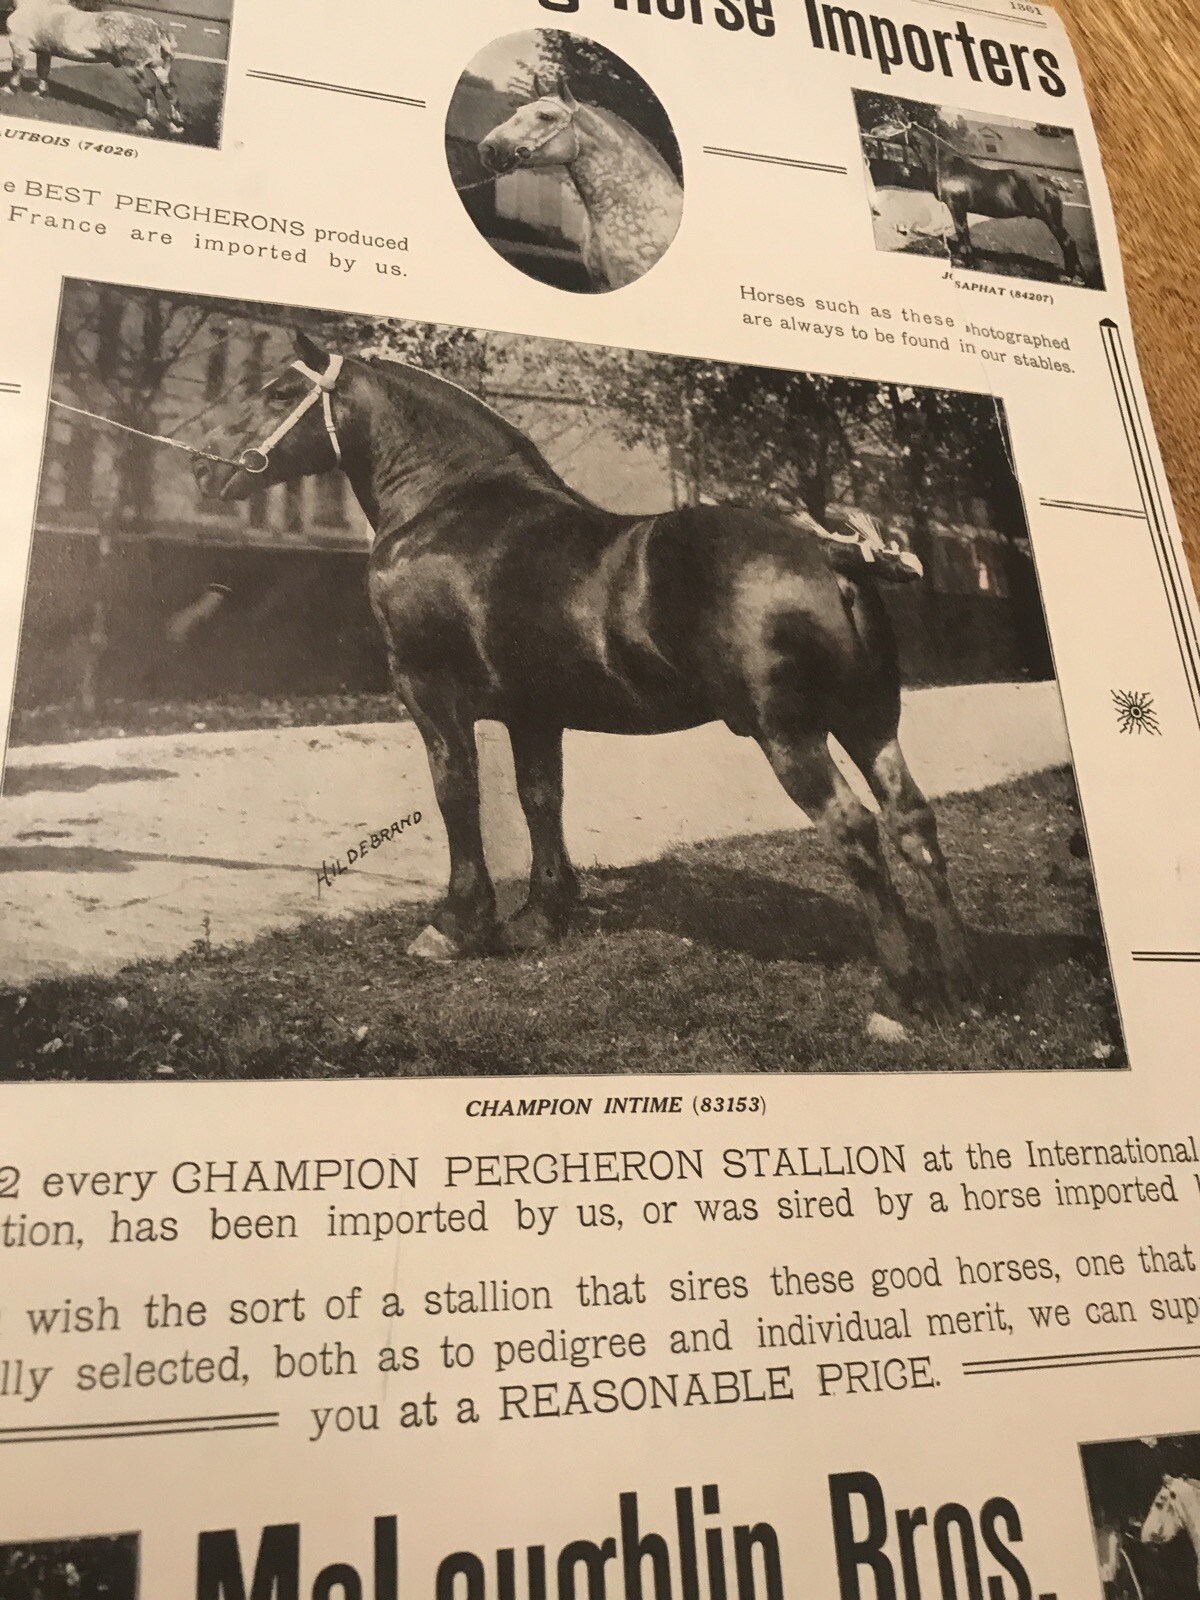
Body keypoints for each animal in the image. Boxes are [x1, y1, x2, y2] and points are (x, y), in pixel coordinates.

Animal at [2, 0, 183, 135]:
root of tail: (158, 30)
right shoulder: (44, 51)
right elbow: (43, 72)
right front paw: (39, 93)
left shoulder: (18, 44)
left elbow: (16, 66)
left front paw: (9, 89)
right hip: (160, 68)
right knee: (170, 91)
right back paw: (175, 126)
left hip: (133, 68)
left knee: (149, 91)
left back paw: (145, 123)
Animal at [193, 333, 975, 1024]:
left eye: (280, 392)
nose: (204, 469)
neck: (448, 505)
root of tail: (832, 553)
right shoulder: (535, 712)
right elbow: (541, 800)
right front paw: (542, 917)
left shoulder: (429, 693)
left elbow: (457, 794)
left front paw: (456, 926)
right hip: (869, 722)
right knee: (912, 820)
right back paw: (962, 984)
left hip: (790, 735)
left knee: (854, 830)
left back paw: (900, 998)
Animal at [872, 119, 1080, 281]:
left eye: (894, 125)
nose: (873, 131)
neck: (948, 166)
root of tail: (1052, 184)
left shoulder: (957, 206)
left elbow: (962, 232)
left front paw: (967, 261)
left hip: (1052, 219)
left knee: (1068, 242)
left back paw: (1072, 276)